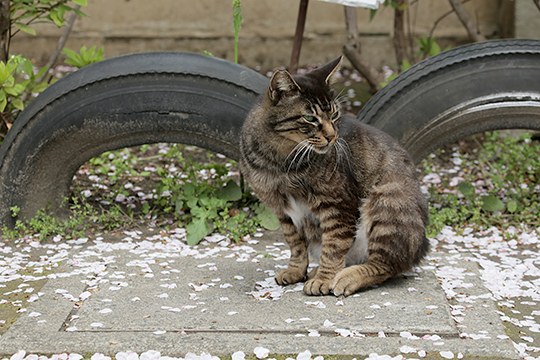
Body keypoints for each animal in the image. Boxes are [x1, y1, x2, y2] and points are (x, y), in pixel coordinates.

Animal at [240, 57, 430, 296]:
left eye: (334, 115)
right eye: (310, 118)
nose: (332, 136)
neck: (280, 162)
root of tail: (421, 245)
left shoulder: (337, 205)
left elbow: (334, 246)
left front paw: (325, 279)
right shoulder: (281, 210)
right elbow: (295, 244)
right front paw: (296, 271)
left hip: (387, 203)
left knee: (384, 265)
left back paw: (345, 277)